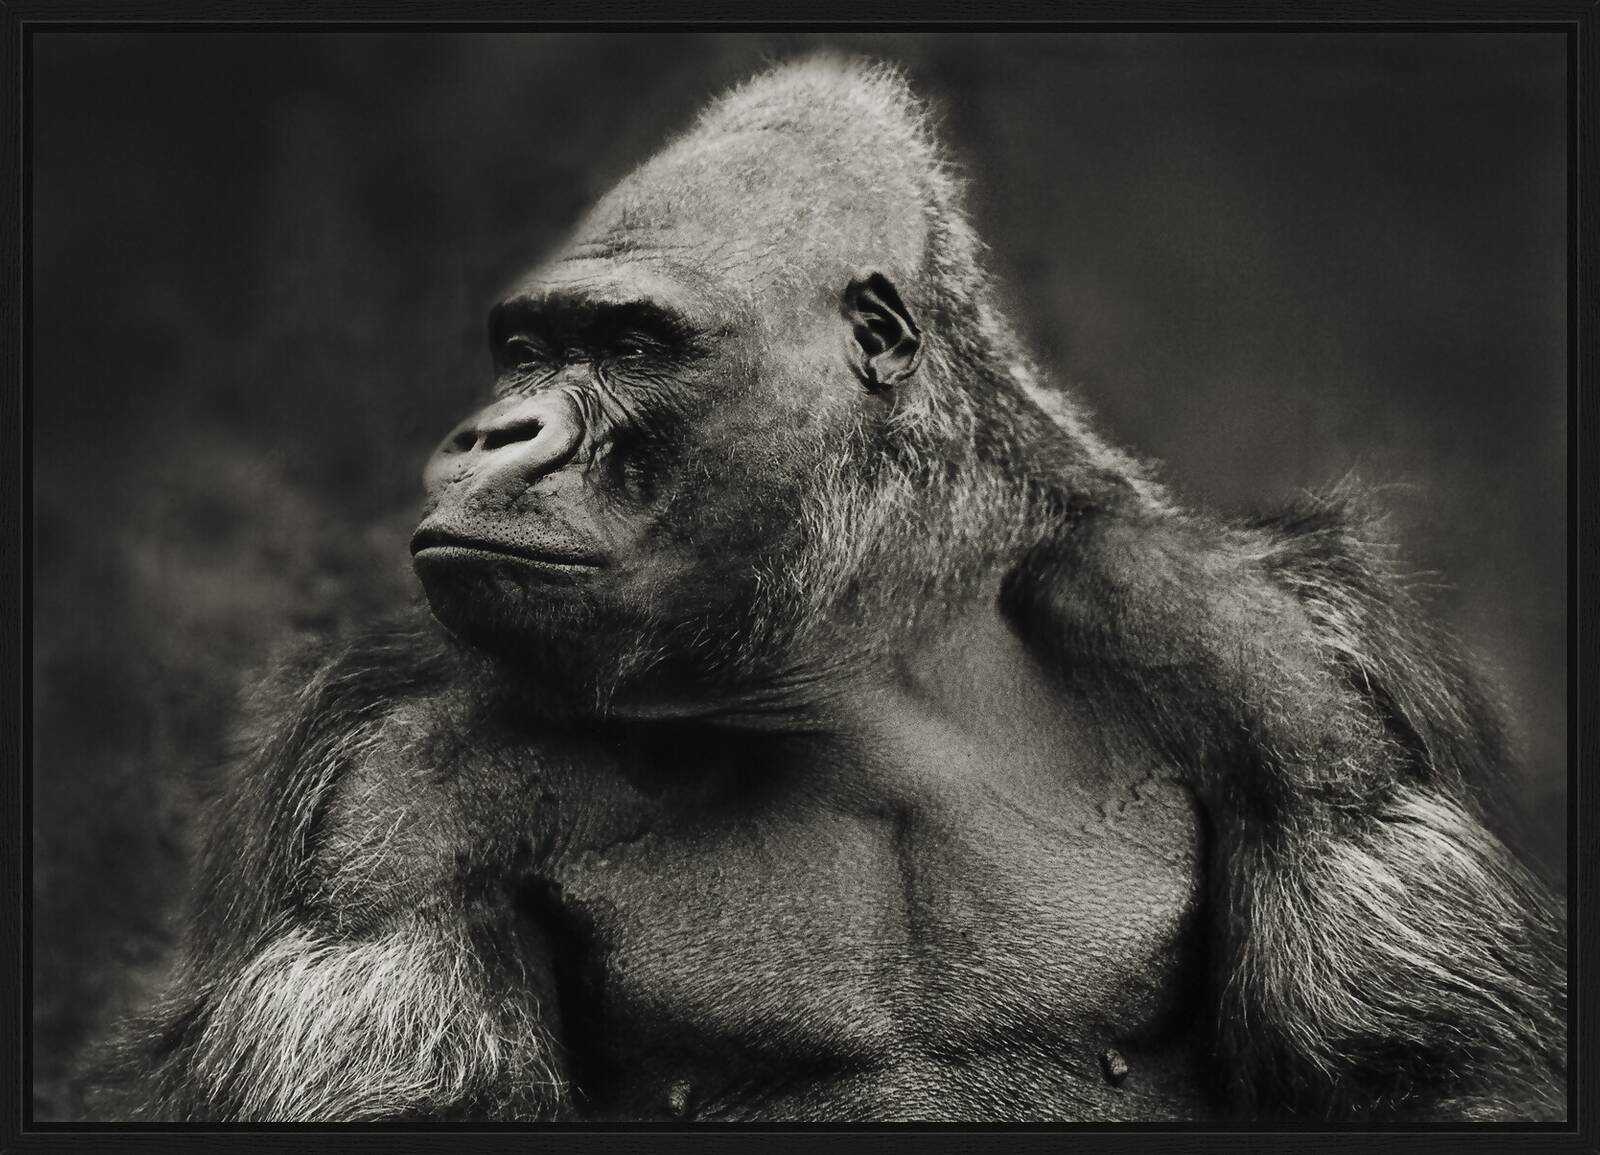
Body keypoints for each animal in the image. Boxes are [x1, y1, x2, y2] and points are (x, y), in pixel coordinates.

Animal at [84, 55, 1565, 1123]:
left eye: (631, 342)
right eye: (523, 348)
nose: (496, 432)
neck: (858, 655)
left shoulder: (1282, 681)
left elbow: (1429, 1080)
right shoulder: (386, 811)